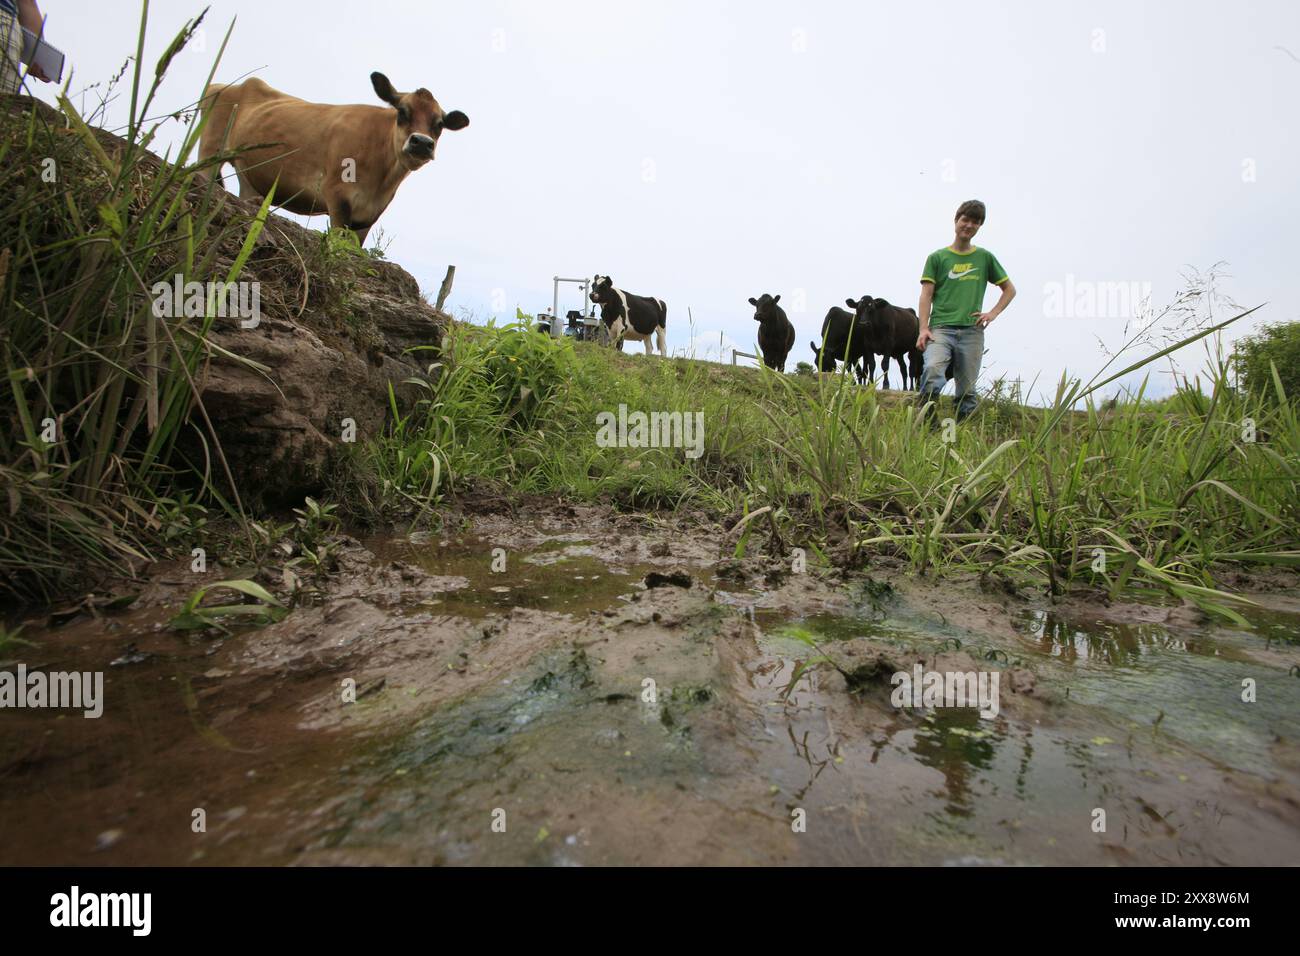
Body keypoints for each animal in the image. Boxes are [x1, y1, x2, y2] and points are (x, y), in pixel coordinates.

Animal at [197, 71, 467, 243]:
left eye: (439, 124)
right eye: (402, 111)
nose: (421, 142)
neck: (382, 178)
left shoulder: (369, 216)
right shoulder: (337, 196)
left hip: (249, 177)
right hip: (209, 151)